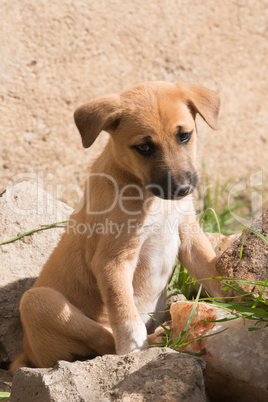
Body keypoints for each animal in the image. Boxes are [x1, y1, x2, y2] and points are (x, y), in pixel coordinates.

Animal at [11, 81, 222, 374]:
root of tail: (27, 354)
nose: (181, 189)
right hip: (38, 302)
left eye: (184, 136)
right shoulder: (112, 260)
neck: (152, 198)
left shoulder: (188, 235)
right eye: (144, 147)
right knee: (104, 340)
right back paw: (162, 337)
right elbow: (125, 315)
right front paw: (133, 354)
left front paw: (245, 302)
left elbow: (213, 275)